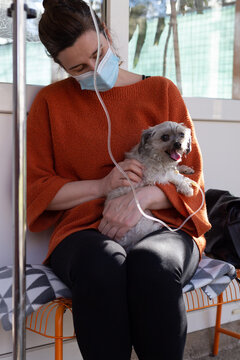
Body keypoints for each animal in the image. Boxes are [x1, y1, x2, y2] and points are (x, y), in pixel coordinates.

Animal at [106, 121, 194, 250]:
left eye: (182, 134)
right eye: (165, 137)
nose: (178, 144)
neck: (156, 157)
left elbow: (175, 169)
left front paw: (185, 169)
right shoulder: (153, 176)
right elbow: (173, 176)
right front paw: (186, 187)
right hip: (143, 220)